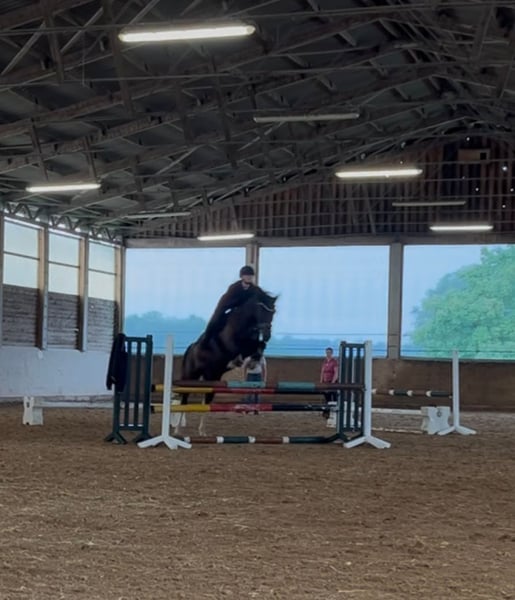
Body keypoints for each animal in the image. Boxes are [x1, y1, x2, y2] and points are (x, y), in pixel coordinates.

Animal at [174, 287, 277, 435]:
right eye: (262, 310)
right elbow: (247, 346)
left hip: (211, 378)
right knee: (184, 399)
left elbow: (258, 345)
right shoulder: (233, 343)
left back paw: (202, 431)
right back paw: (177, 430)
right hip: (191, 376)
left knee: (206, 402)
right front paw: (242, 359)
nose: (268, 335)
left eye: (273, 312)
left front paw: (254, 356)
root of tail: (191, 348)